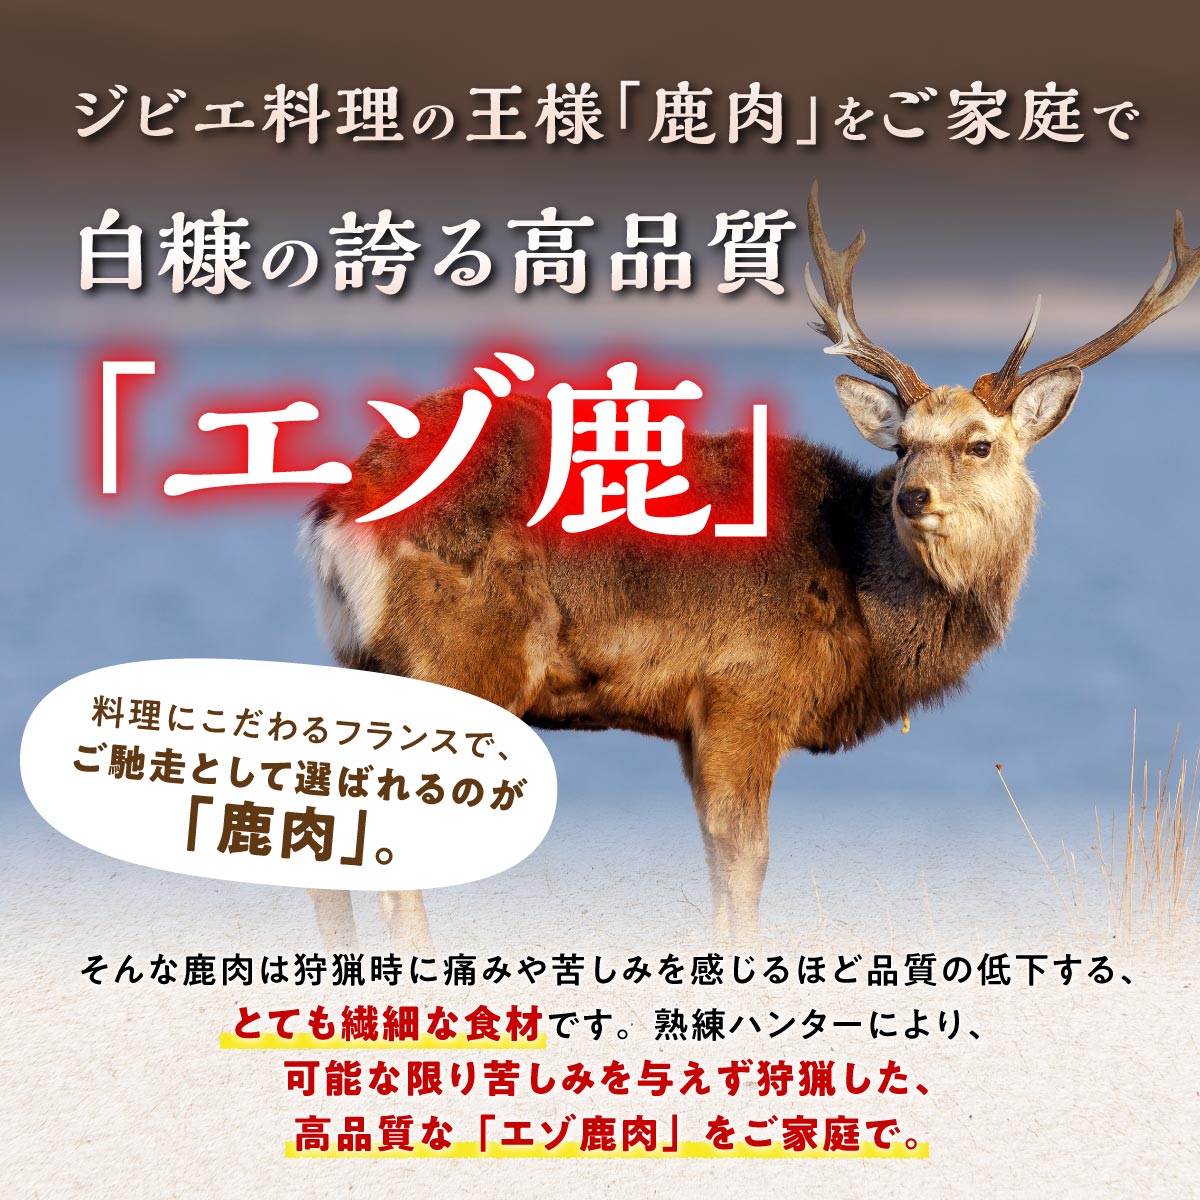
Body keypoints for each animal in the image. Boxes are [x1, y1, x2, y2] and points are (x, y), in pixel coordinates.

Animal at [301, 183, 1199, 950]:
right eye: (903, 445)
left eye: (979, 444)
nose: (912, 497)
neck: (867, 613)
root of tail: (340, 508)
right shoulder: (744, 691)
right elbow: (745, 865)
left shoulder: (689, 721)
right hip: (460, 658)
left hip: (357, 660)